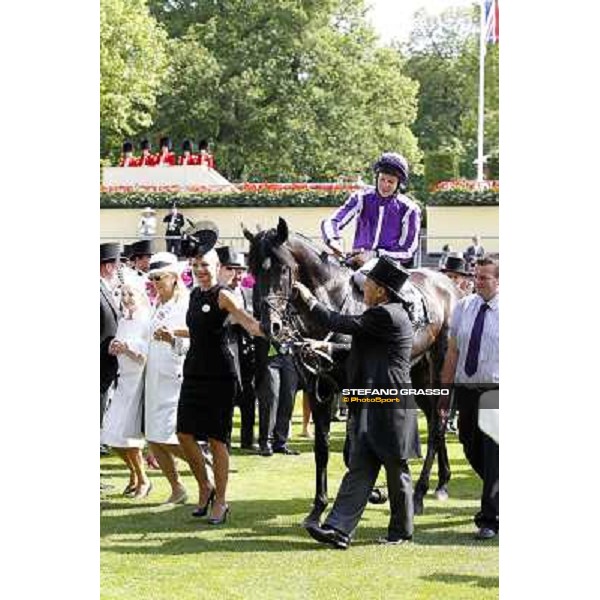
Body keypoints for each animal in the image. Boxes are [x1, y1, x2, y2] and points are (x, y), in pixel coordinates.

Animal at [244, 218, 460, 524]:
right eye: (252, 270)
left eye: (283, 268)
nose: (269, 326)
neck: (335, 302)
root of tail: (449, 285)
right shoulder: (319, 388)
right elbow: (322, 448)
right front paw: (317, 508)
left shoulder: (353, 388)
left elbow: (351, 449)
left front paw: (375, 493)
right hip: (417, 373)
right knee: (432, 420)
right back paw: (442, 482)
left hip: (440, 370)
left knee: (439, 421)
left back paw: (420, 493)